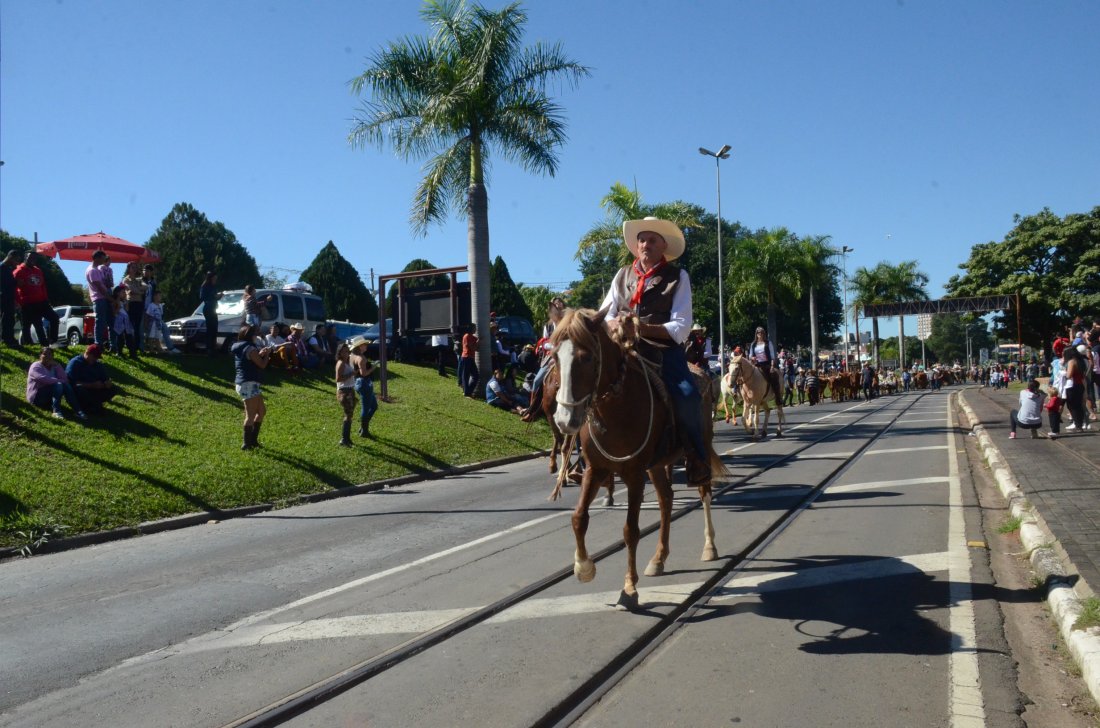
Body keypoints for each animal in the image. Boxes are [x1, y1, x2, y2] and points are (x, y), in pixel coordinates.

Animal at [547, 307, 721, 611]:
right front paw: (584, 568)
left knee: (704, 492)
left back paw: (709, 547)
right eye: (555, 356)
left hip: (699, 449)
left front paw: (629, 589)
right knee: (666, 499)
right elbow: (579, 517)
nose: (564, 420)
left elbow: (631, 530)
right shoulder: (595, 469)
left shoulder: (635, 474)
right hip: (657, 465)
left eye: (587, 357)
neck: (616, 406)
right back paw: (658, 559)